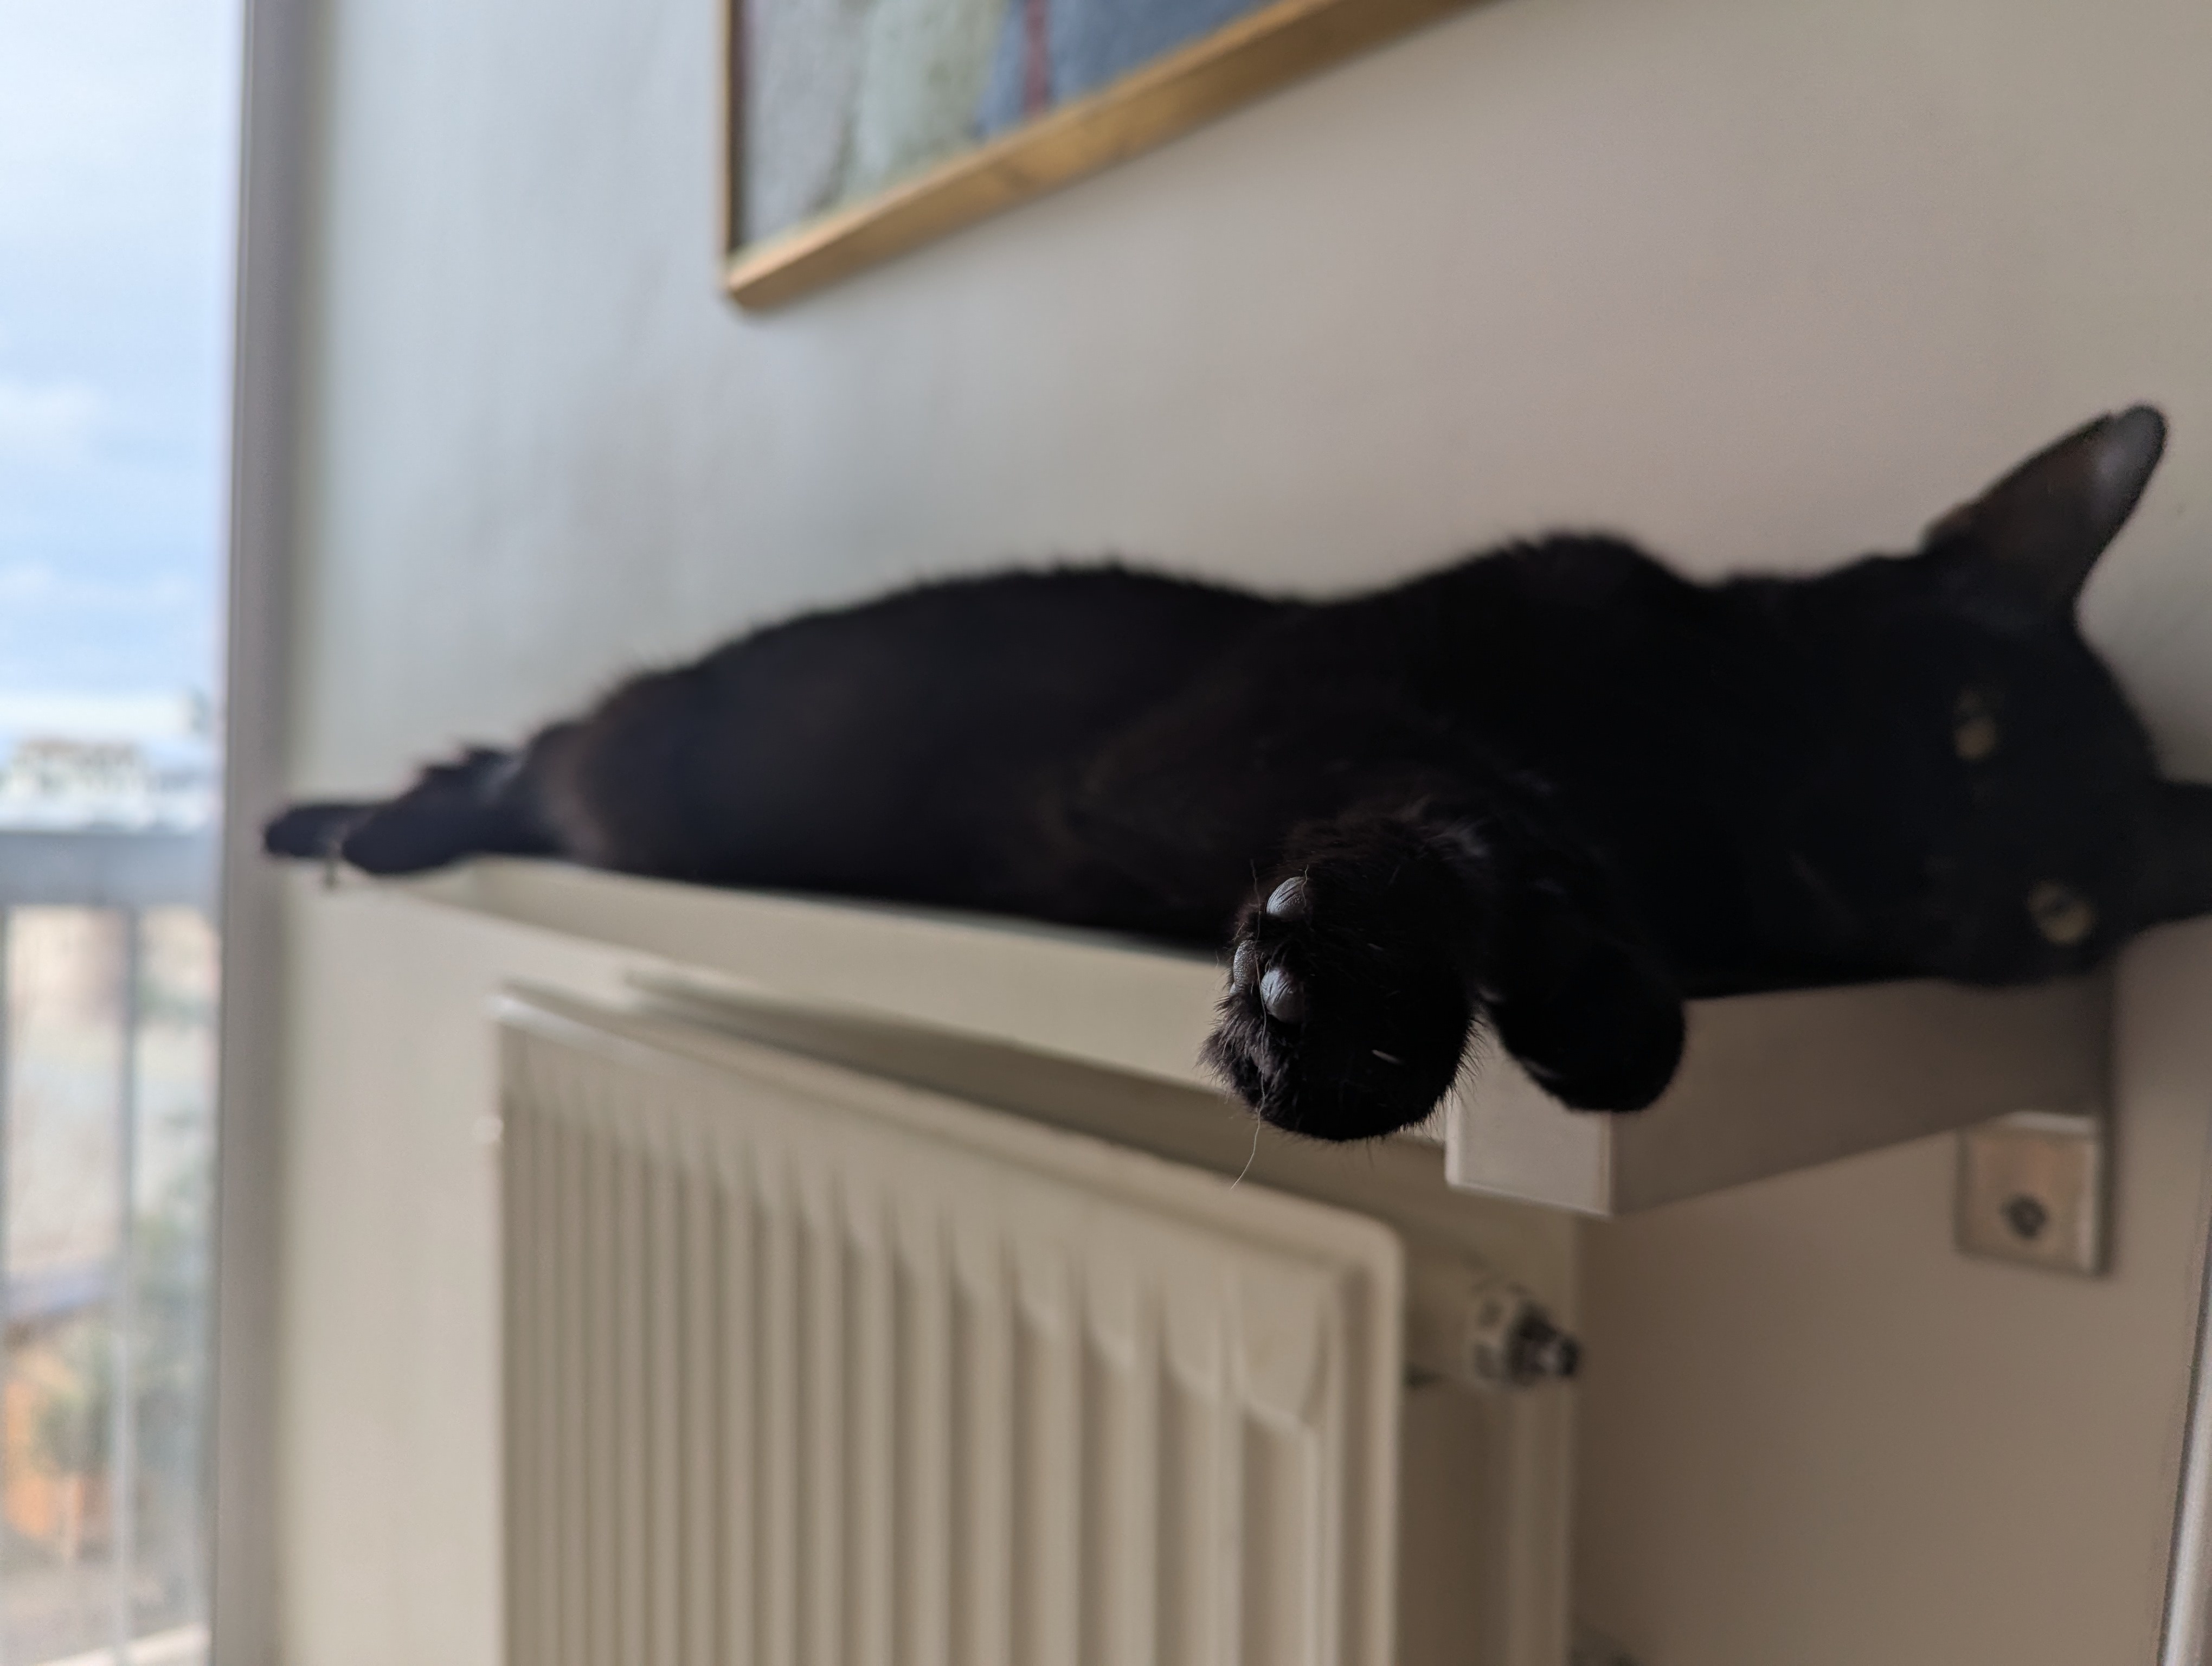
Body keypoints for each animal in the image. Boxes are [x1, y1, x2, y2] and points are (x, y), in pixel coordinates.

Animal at [267, 407, 2212, 1142]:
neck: (1689, 809)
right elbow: (1469, 788)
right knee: (515, 758)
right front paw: (1359, 1006)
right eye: (1962, 725)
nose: (1937, 881)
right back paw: (357, 820)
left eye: (2058, 907)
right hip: (636, 763)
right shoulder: (1237, 733)